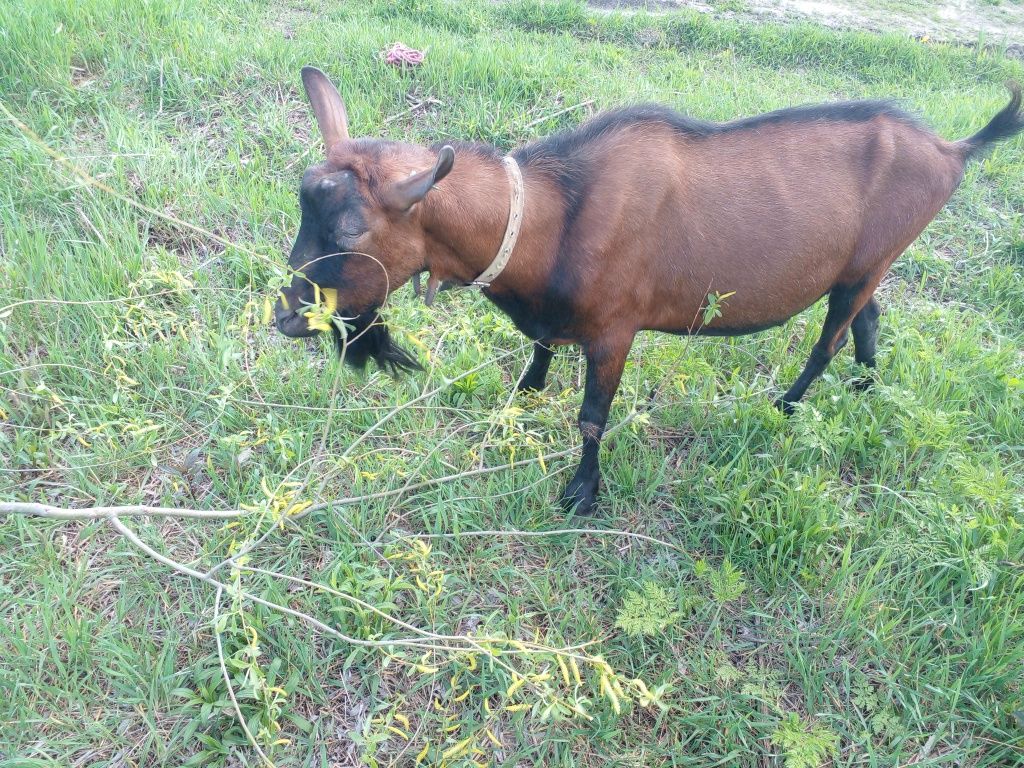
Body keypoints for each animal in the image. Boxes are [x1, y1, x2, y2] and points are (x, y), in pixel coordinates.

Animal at [274, 70, 1024, 518]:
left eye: (350, 228)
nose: (285, 316)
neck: (554, 214)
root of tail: (953, 150)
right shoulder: (555, 317)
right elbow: (539, 355)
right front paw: (522, 400)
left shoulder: (615, 327)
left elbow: (592, 417)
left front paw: (581, 493)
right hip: (865, 264)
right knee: (868, 320)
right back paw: (869, 390)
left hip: (871, 261)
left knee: (831, 338)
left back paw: (787, 406)